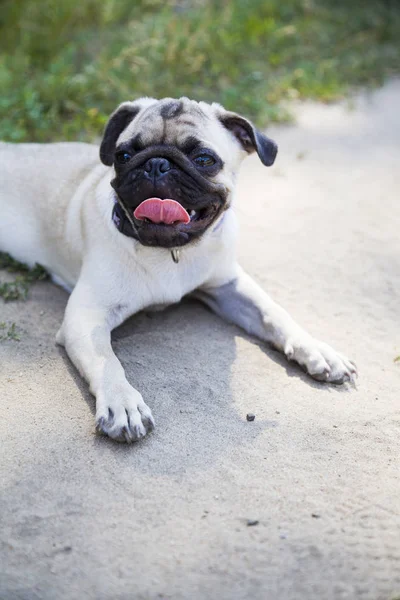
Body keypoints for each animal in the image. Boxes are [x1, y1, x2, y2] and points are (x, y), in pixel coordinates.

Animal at [0, 96, 356, 442]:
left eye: (204, 159)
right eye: (123, 155)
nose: (156, 164)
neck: (171, 251)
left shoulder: (228, 285)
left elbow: (274, 312)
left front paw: (317, 349)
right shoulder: (86, 317)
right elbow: (107, 362)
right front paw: (122, 403)